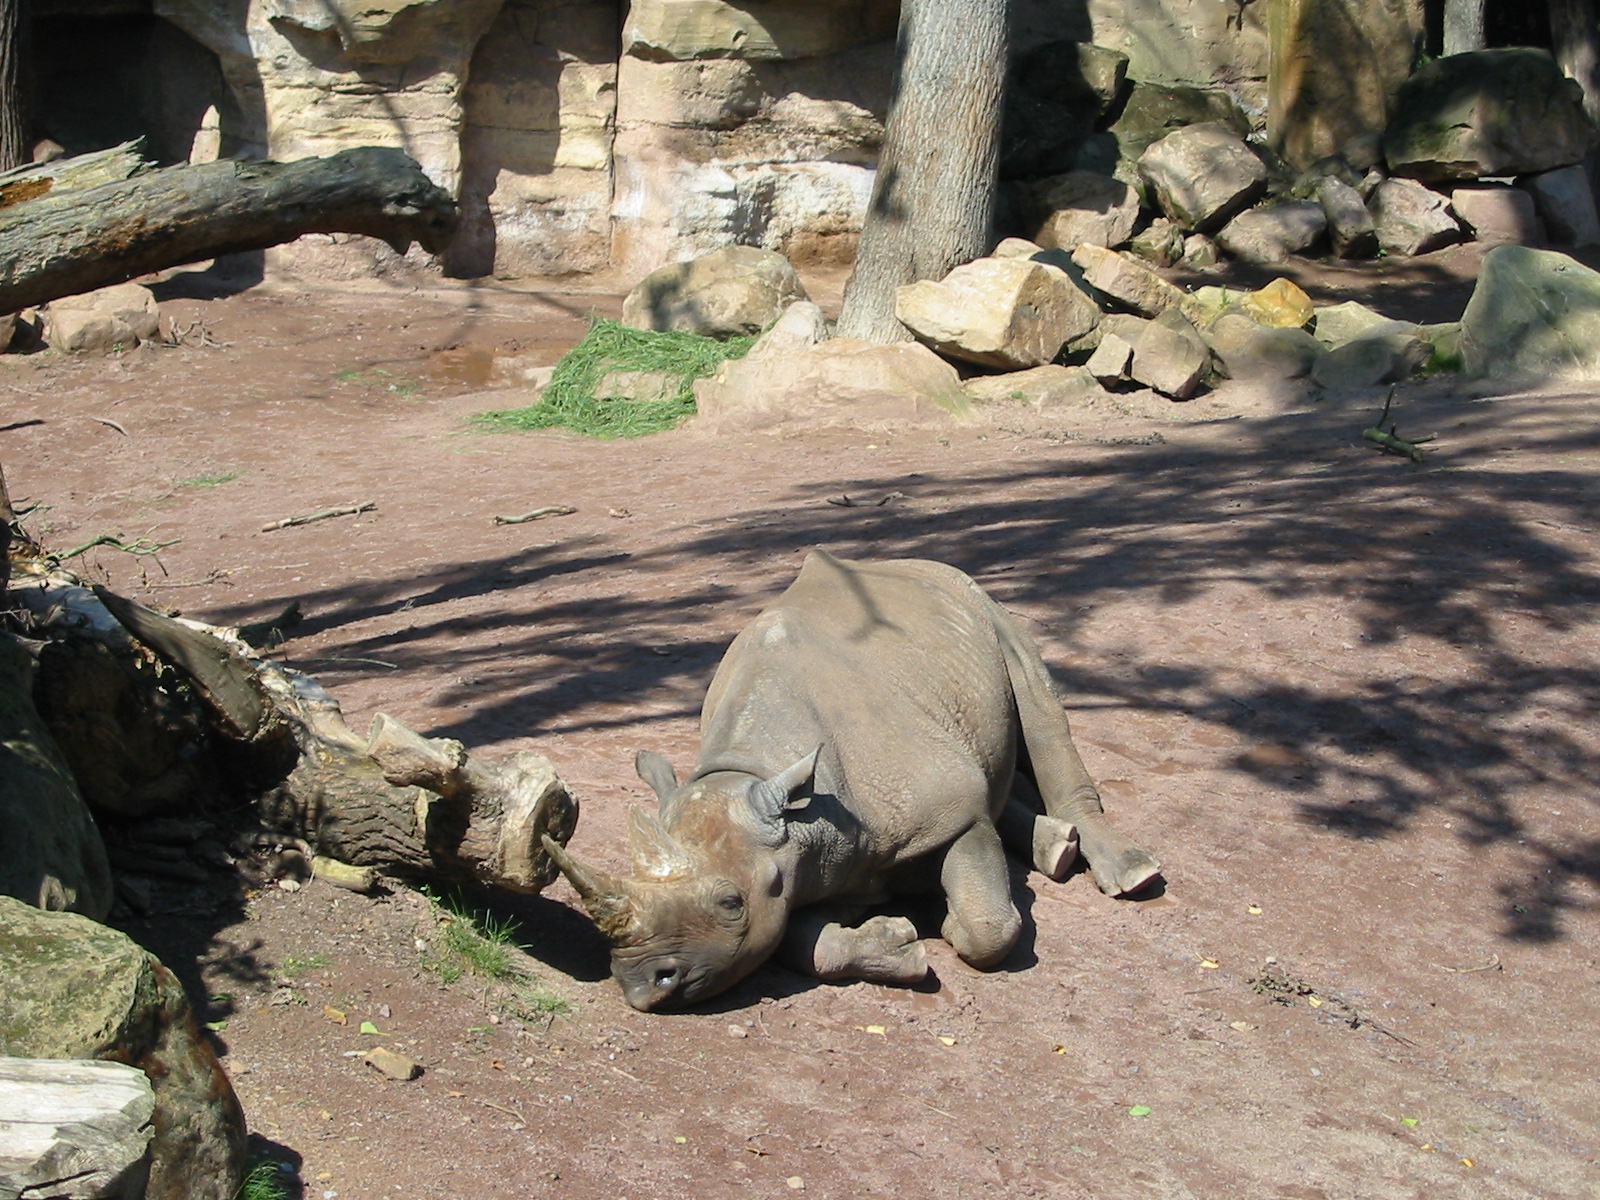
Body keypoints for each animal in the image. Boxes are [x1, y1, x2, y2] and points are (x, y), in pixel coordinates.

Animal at [544, 551, 1161, 1011]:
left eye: (730, 903)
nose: (642, 984)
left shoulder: (951, 814)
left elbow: (988, 925)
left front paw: (945, 923)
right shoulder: (796, 861)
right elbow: (798, 943)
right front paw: (899, 943)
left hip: (983, 604)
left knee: (1038, 705)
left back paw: (1129, 873)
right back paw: (1055, 848)